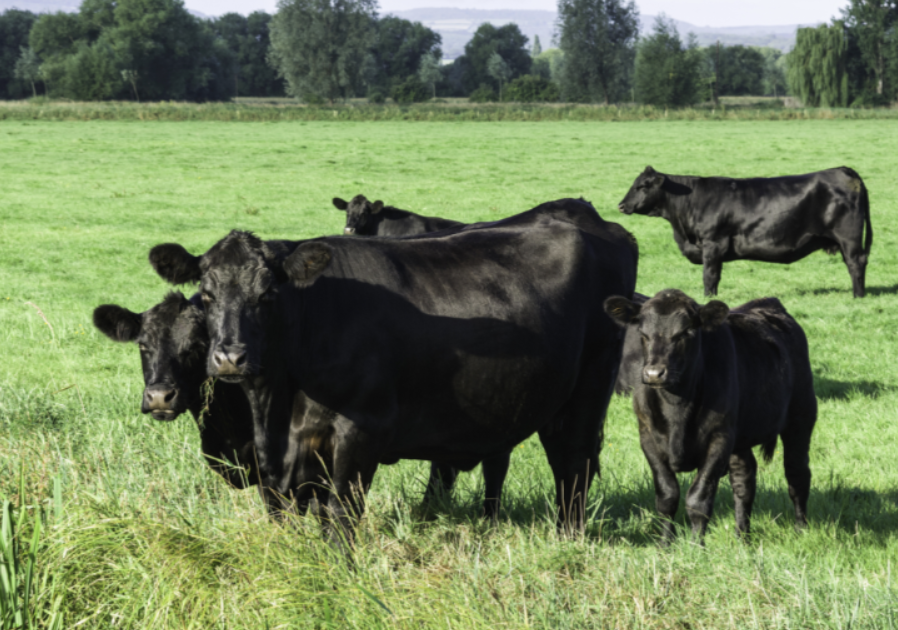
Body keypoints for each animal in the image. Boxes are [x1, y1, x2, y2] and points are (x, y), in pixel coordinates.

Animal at [148, 199, 638, 540]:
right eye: (207, 294)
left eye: (267, 294)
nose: (230, 357)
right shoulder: (281, 461)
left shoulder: (359, 432)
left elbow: (341, 517)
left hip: (588, 390)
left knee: (571, 464)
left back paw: (567, 539)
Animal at [604, 289, 817, 544]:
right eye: (643, 334)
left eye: (685, 332)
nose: (654, 373)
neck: (677, 408)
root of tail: (769, 304)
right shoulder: (647, 437)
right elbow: (667, 496)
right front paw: (665, 544)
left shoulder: (718, 439)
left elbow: (698, 499)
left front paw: (696, 546)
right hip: (741, 438)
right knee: (744, 480)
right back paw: (742, 537)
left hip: (801, 417)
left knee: (797, 473)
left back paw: (801, 529)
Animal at [618, 166, 872, 297]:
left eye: (642, 186)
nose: (621, 205)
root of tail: (844, 170)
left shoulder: (713, 243)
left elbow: (710, 275)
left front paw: (708, 298)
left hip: (849, 239)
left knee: (855, 263)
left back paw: (858, 296)